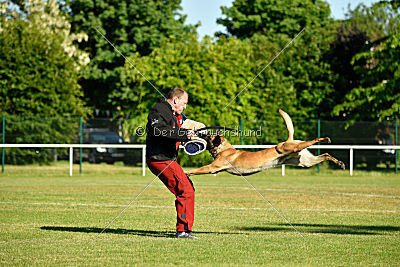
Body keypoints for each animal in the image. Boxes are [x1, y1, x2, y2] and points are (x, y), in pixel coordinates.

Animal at [186, 110, 346, 177]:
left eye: (208, 136)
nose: (198, 132)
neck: (223, 149)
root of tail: (289, 140)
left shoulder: (211, 168)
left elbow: (198, 169)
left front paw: (187, 172)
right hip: (304, 161)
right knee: (325, 154)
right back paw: (339, 163)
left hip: (292, 147)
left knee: (313, 141)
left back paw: (324, 139)